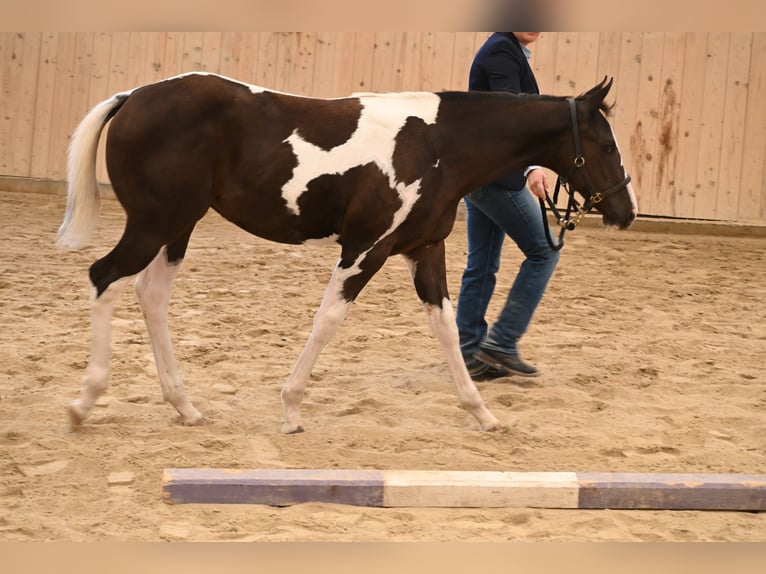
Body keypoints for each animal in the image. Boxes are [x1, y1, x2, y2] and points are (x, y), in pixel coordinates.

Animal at [57, 72, 637, 434]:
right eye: (607, 145)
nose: (625, 211)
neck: (439, 146)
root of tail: (133, 96)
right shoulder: (366, 248)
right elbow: (328, 319)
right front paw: (291, 411)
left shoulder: (424, 251)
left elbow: (447, 329)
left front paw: (483, 414)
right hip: (156, 223)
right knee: (105, 277)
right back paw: (84, 404)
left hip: (177, 227)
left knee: (149, 294)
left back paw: (186, 408)